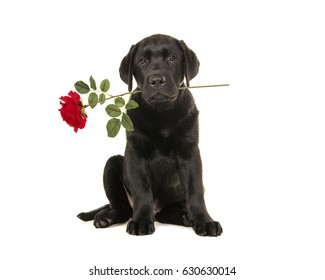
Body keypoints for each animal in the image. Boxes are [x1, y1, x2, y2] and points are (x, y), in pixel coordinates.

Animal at [77, 34, 221, 236]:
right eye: (142, 61)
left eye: (172, 58)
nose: (157, 80)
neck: (161, 113)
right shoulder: (135, 152)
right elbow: (142, 190)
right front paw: (141, 221)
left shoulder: (190, 151)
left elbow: (195, 190)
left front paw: (204, 221)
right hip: (113, 163)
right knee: (123, 208)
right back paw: (107, 217)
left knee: (165, 213)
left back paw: (185, 217)